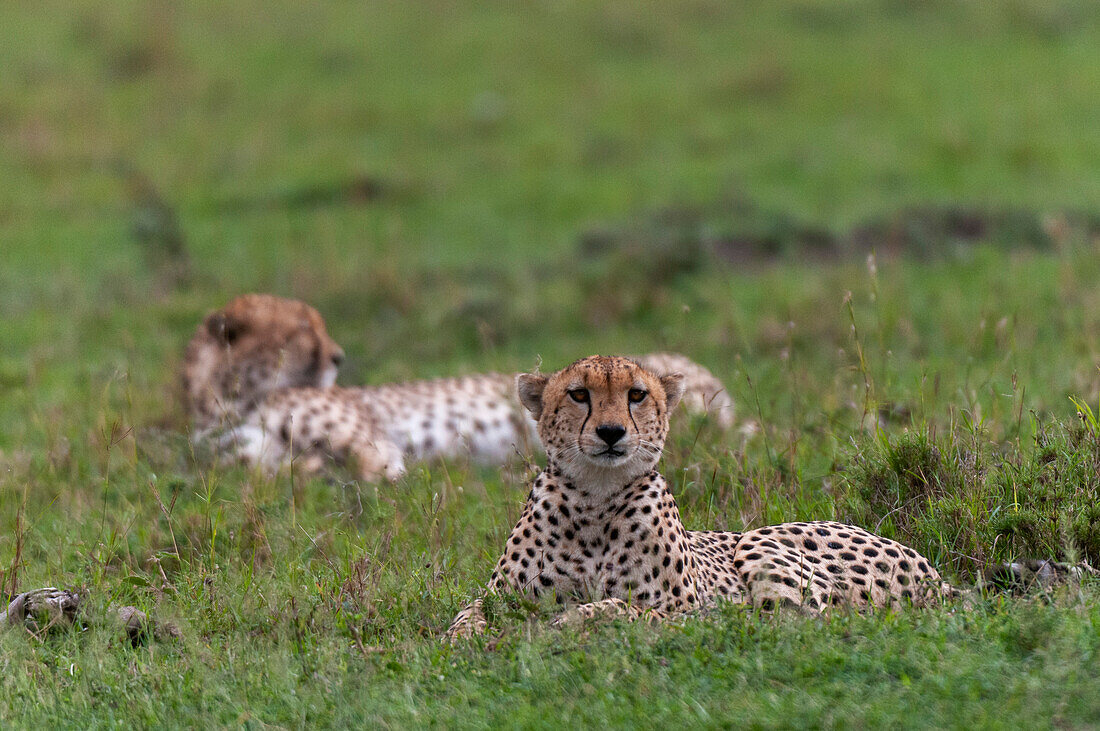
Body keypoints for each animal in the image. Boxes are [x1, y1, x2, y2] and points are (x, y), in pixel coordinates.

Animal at [184, 294, 734, 481]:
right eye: (302, 330)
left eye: (317, 325)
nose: (338, 357)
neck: (230, 404)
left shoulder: (374, 441)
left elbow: (380, 469)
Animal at [442, 356, 1086, 637]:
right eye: (577, 395)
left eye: (635, 395)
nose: (610, 432)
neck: (597, 504)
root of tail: (927, 565)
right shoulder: (498, 596)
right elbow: (467, 616)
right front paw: (465, 641)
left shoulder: (692, 608)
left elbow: (628, 608)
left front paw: (572, 621)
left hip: (762, 546)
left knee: (802, 620)